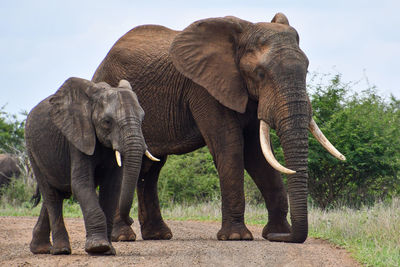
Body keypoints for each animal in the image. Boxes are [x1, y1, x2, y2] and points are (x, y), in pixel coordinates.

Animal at [25, 78, 158, 258]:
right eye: (107, 122)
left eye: (142, 119)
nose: (131, 220)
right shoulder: (78, 137)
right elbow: (81, 184)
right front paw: (98, 247)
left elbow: (112, 188)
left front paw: (108, 250)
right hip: (33, 151)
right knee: (51, 195)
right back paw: (60, 251)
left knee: (56, 194)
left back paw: (41, 249)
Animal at [92, 13, 346, 245]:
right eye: (260, 73)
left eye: (306, 70)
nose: (284, 238)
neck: (242, 33)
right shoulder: (204, 88)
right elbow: (230, 146)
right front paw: (237, 237)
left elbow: (258, 155)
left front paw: (276, 233)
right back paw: (123, 237)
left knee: (151, 167)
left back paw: (158, 235)